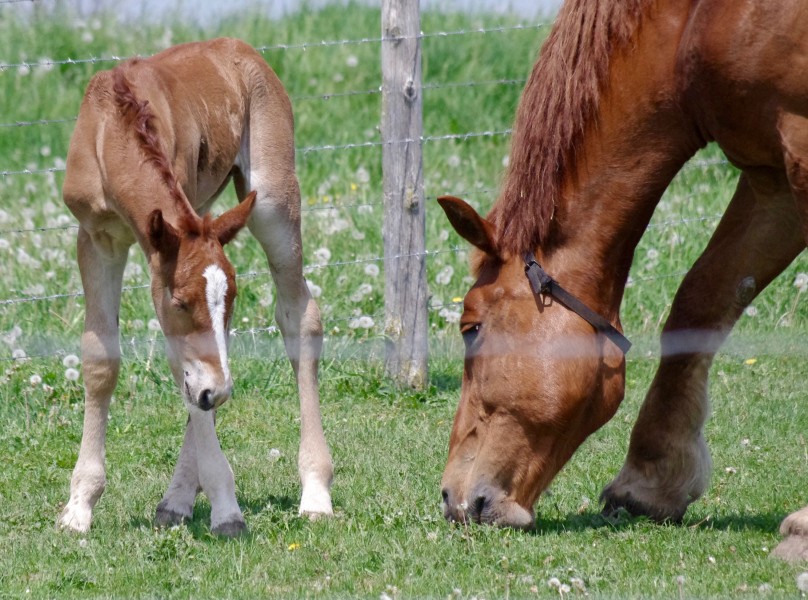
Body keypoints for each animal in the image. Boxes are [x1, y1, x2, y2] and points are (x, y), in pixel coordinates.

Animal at [58, 37, 332, 536]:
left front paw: (227, 509)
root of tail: (240, 47)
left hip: (272, 201)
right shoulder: (96, 239)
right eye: (182, 301)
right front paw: (79, 507)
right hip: (210, 212)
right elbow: (103, 359)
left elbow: (182, 370)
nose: (219, 394)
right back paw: (176, 501)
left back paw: (315, 490)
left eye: (234, 298)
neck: (111, 129)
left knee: (299, 317)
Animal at [438, 0, 808, 556]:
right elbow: (703, 297)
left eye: (471, 329)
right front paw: (653, 480)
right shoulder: (772, 177)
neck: (693, 26)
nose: (452, 498)